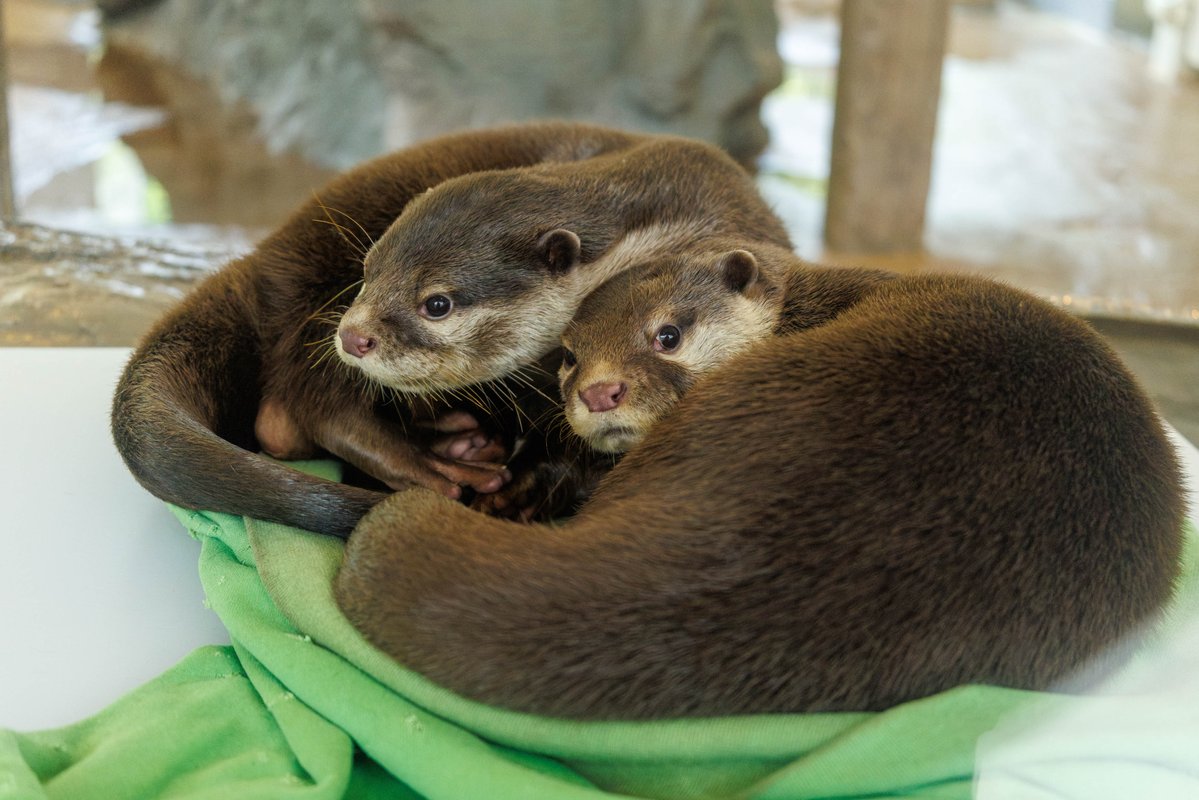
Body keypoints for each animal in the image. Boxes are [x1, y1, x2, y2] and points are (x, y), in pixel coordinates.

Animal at [111, 122, 792, 537]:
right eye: (369, 270)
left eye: (436, 303)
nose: (354, 335)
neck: (666, 220)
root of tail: (260, 262)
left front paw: (530, 487)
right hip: (306, 293)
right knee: (308, 407)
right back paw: (438, 466)